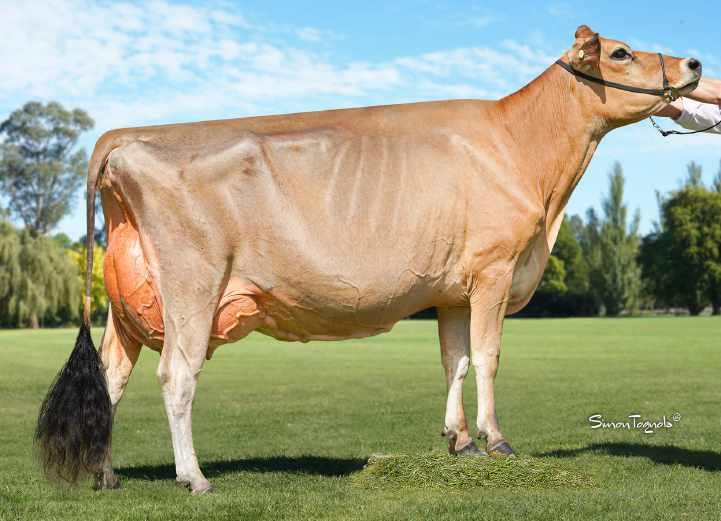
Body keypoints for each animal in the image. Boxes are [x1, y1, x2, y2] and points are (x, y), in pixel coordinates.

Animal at [35, 26, 701, 494]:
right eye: (620, 52)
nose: (694, 63)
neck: (522, 153)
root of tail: (126, 137)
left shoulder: (452, 290)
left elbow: (456, 362)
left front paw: (458, 442)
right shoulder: (493, 270)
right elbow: (488, 358)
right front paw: (497, 442)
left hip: (130, 304)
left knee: (110, 380)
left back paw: (106, 475)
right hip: (192, 285)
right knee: (176, 376)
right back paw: (193, 478)